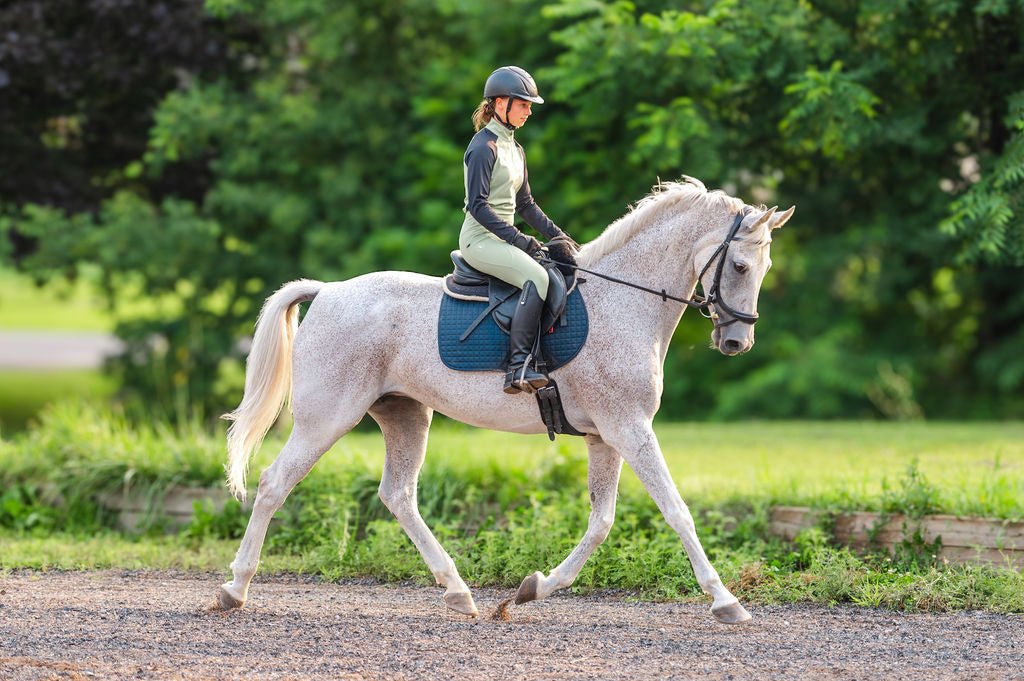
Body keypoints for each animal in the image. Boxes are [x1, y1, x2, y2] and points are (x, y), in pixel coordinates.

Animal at [216, 178, 790, 622]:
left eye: (763, 270)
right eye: (740, 266)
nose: (737, 342)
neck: (624, 301)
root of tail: (329, 290)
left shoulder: (606, 436)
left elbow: (601, 522)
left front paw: (533, 588)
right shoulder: (629, 428)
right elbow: (676, 511)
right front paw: (726, 601)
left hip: (405, 415)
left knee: (398, 495)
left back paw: (458, 591)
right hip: (327, 419)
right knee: (274, 484)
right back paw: (234, 589)